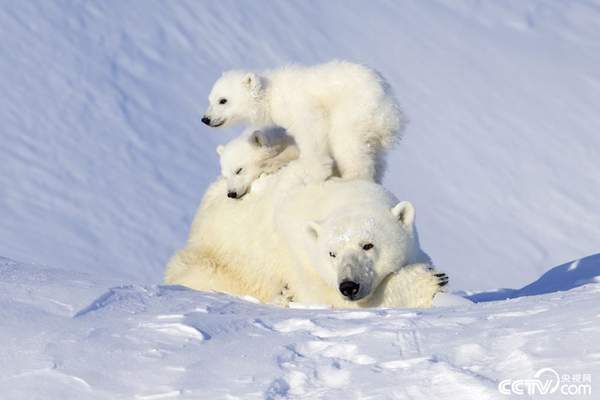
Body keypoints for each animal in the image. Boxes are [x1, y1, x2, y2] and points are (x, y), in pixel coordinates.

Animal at [164, 161, 446, 308]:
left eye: (368, 245)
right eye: (332, 253)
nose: (349, 286)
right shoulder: (301, 256)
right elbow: (328, 297)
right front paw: (432, 280)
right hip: (214, 260)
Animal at [200, 60, 404, 183]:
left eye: (223, 100)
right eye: (210, 99)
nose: (205, 119)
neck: (273, 94)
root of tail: (390, 111)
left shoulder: (302, 105)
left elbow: (312, 131)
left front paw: (317, 173)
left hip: (353, 111)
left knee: (347, 144)